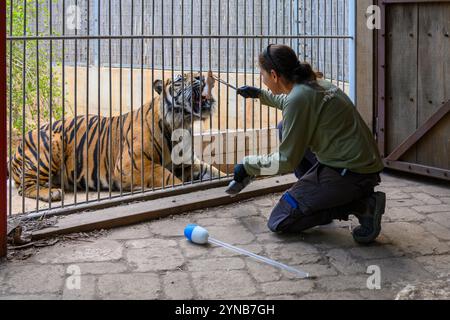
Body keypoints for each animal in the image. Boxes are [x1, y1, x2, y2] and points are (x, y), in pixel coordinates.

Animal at [9, 73, 229, 201]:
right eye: (179, 79)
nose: (201, 77)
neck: (181, 124)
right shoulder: (133, 163)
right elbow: (168, 177)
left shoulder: (188, 163)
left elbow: (213, 171)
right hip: (52, 142)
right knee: (24, 187)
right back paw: (51, 193)